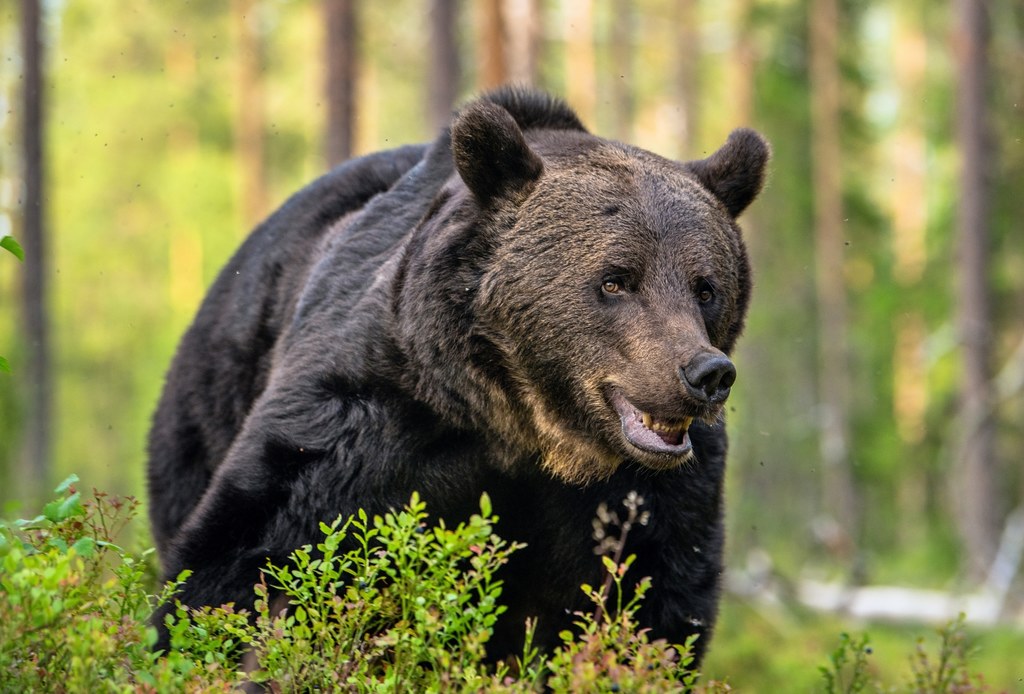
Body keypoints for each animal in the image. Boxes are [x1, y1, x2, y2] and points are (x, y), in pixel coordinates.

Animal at [146, 85, 770, 663]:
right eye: (616, 279)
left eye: (706, 287)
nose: (705, 374)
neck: (520, 426)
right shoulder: (367, 418)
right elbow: (250, 548)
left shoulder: (648, 494)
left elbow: (652, 601)